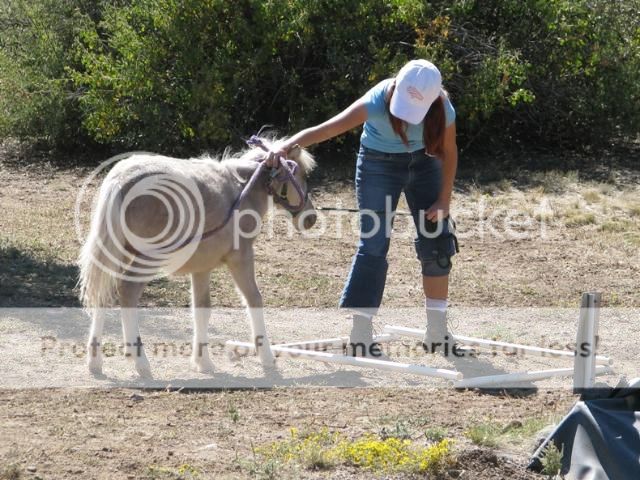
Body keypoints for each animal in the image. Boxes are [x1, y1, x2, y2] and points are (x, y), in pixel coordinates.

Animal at [78, 138, 318, 378]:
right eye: (301, 174)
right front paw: (267, 357)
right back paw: (141, 362)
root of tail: (120, 180)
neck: (241, 189)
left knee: (102, 295)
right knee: (127, 292)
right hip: (146, 261)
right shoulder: (241, 259)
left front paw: (203, 362)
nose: (311, 218)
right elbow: (254, 300)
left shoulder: (202, 268)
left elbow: (202, 309)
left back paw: (95, 361)